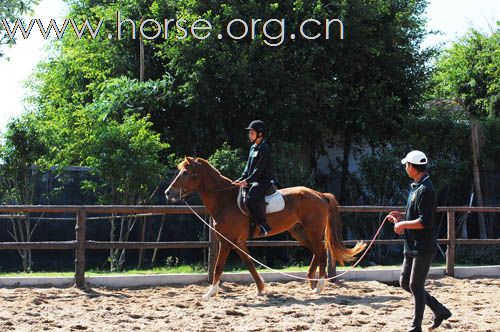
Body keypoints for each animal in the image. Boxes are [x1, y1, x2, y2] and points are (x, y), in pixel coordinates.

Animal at [166, 157, 366, 300]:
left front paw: (210, 293)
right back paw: (312, 281)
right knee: (318, 251)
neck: (225, 200)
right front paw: (261, 289)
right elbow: (249, 263)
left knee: (321, 252)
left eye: (185, 173)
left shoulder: (228, 241)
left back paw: (320, 286)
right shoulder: (236, 241)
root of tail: (319, 194)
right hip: (299, 232)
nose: (168, 193)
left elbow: (219, 266)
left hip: (313, 231)